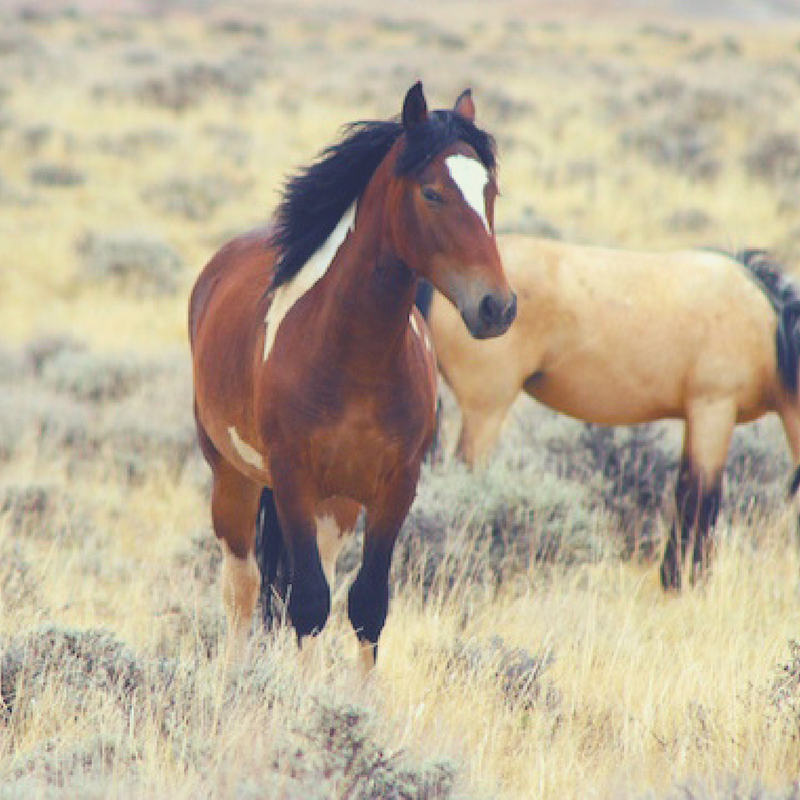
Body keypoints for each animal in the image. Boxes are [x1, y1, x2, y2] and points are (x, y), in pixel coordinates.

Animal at [189, 83, 517, 672]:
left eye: (490, 192)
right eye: (432, 193)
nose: (496, 307)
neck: (355, 359)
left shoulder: (396, 487)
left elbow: (367, 604)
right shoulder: (292, 480)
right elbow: (307, 604)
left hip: (337, 504)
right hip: (233, 477)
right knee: (242, 589)